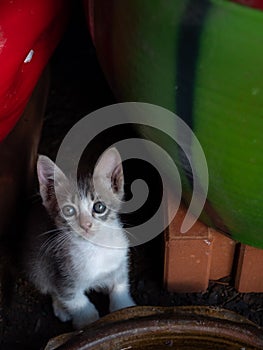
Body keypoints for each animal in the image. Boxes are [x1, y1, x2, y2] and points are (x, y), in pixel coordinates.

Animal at [24, 147, 136, 328]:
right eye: (68, 210)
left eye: (99, 207)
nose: (86, 225)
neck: (95, 248)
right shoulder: (60, 274)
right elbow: (75, 300)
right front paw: (87, 321)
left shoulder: (120, 261)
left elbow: (119, 285)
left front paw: (124, 307)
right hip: (36, 267)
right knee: (47, 286)